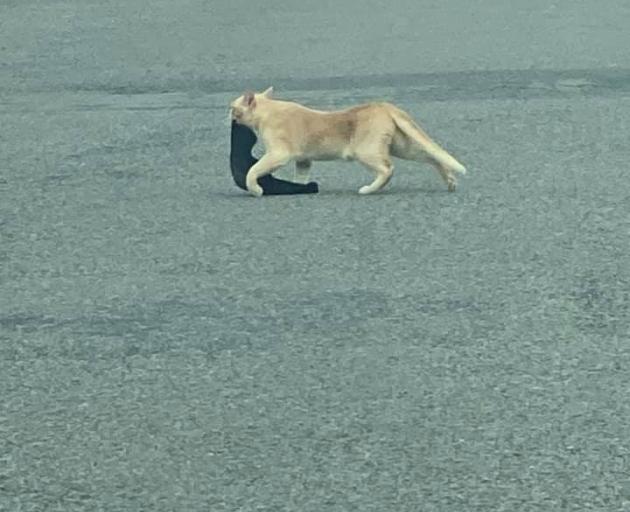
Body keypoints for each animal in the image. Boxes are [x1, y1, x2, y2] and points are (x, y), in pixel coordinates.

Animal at [230, 87, 466, 197]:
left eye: (233, 108)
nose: (227, 113)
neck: (268, 111)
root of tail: (384, 105)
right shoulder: (304, 160)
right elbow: (301, 177)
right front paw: (301, 188)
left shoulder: (279, 154)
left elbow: (252, 171)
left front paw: (256, 190)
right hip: (404, 146)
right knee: (433, 157)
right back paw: (450, 181)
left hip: (366, 152)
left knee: (388, 169)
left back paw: (368, 190)